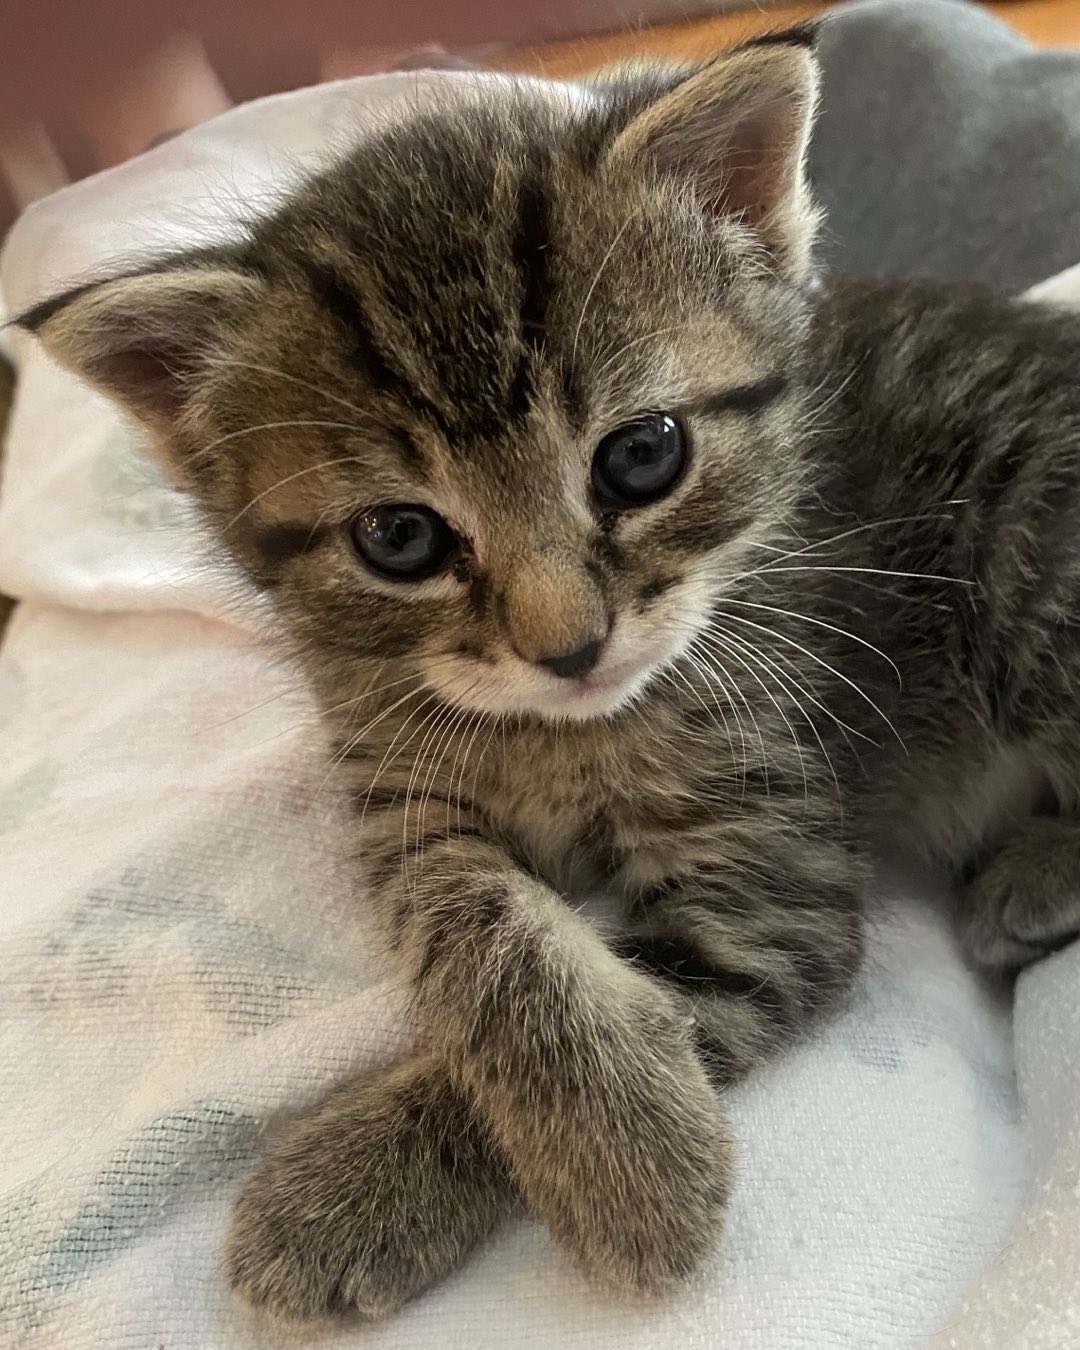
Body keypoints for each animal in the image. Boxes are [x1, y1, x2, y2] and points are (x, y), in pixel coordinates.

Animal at [16, 23, 1080, 1317]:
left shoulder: (770, 862)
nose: (569, 647)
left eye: (642, 455)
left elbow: (691, 979)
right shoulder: (395, 787)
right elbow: (465, 917)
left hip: (1027, 558)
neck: (567, 735)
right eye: (400, 538)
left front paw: (588, 1174)